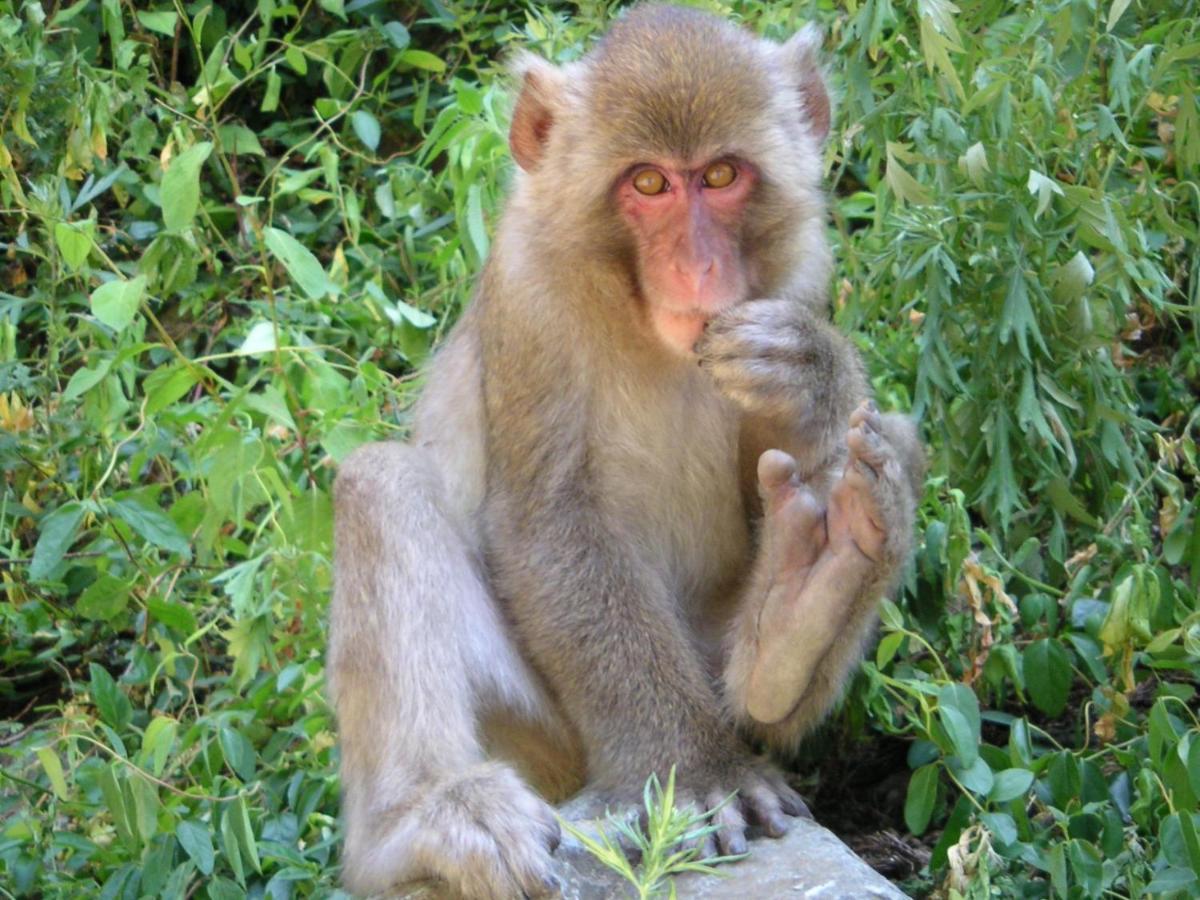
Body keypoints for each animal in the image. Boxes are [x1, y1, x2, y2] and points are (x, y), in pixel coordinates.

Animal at [328, 7, 926, 900]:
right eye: (648, 185)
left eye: (720, 175)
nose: (699, 265)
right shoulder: (530, 291)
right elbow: (550, 521)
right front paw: (697, 771)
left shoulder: (798, 269)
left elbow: (774, 468)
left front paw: (811, 370)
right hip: (544, 734)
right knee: (380, 483)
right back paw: (423, 819)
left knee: (891, 448)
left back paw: (807, 597)